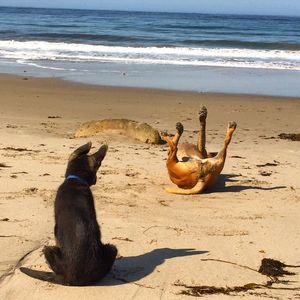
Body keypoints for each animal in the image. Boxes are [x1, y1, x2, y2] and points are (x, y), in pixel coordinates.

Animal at [42, 142, 117, 284]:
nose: (96, 180)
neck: (75, 180)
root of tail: (75, 281)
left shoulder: (56, 228)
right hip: (113, 249)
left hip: (48, 249)